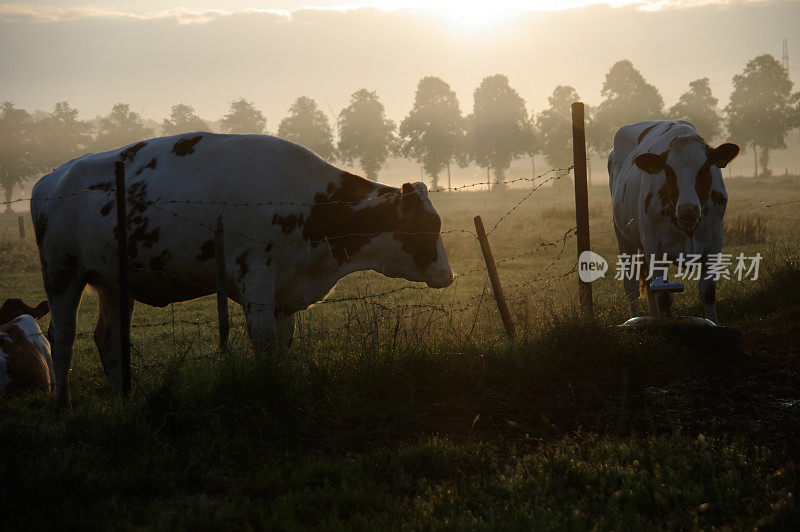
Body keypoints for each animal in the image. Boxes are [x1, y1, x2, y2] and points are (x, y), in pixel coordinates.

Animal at [31, 134, 454, 408]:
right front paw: (270, 389)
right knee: (62, 336)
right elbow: (263, 340)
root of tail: (52, 177)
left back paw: (124, 398)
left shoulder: (286, 290)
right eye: (426, 226)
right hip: (62, 273)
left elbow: (282, 344)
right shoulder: (257, 276)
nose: (448, 276)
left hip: (113, 282)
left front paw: (283, 383)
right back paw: (62, 404)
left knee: (108, 337)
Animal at [608, 120, 740, 324]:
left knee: (649, 288)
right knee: (631, 288)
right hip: (623, 237)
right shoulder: (655, 249)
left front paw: (715, 323)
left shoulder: (713, 245)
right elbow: (662, 296)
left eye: (705, 169)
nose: (688, 210)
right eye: (669, 172)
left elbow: (708, 293)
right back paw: (634, 317)